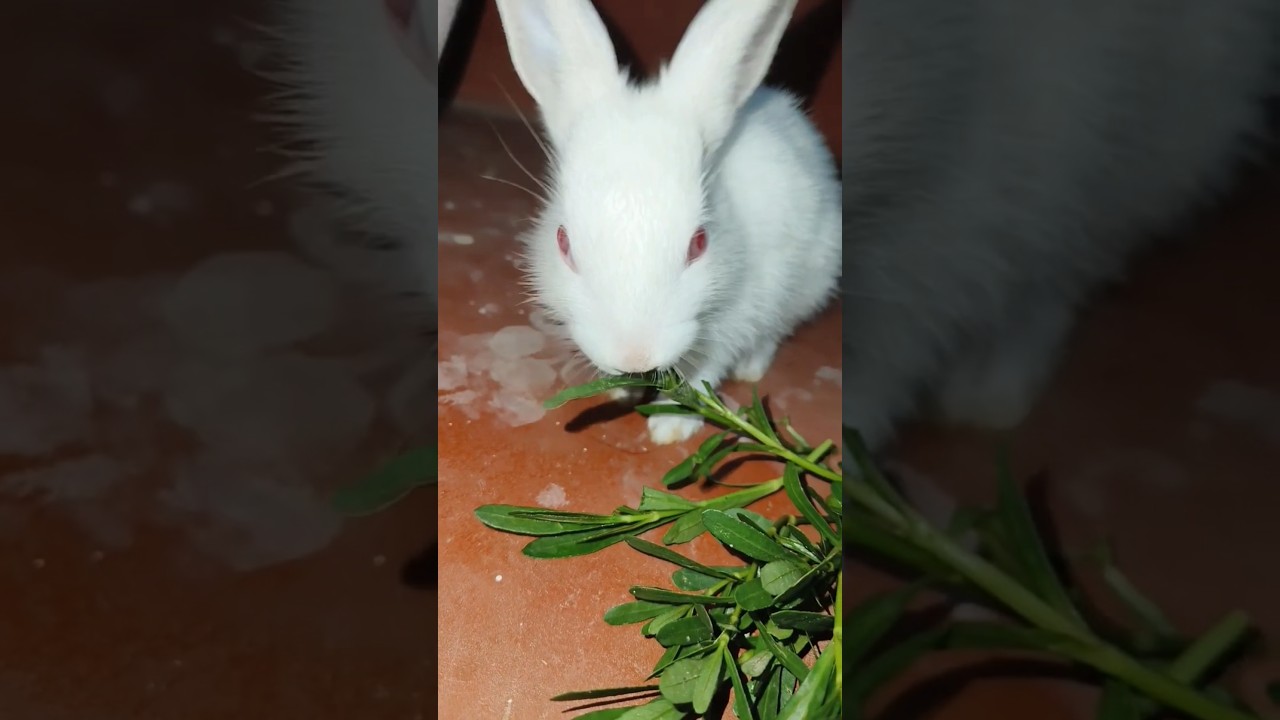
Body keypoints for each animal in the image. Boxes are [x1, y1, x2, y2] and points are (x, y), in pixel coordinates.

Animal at [492, 0, 843, 445]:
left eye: (700, 242)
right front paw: (623, 389)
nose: (635, 355)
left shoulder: (730, 321)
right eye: (563, 242)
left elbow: (701, 375)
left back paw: (751, 368)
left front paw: (671, 426)